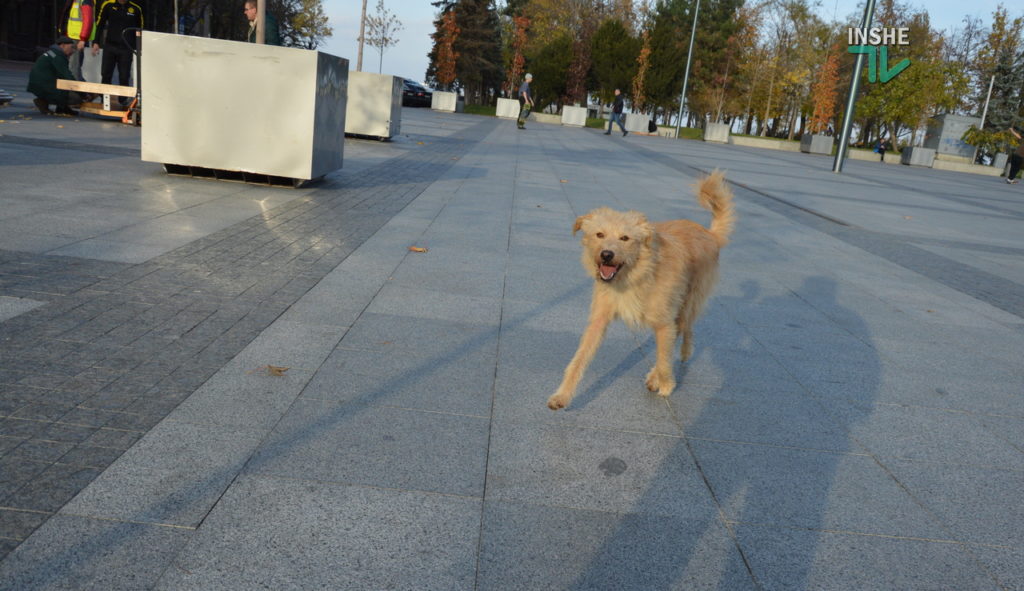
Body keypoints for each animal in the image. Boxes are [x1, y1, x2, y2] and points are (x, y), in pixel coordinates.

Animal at [548, 169, 733, 409]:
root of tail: (710, 234)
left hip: (688, 301)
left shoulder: (663, 322)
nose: (606, 254)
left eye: (625, 238)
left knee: (683, 329)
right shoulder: (599, 319)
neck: (633, 277)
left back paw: (670, 365)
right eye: (599, 234)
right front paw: (562, 395)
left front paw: (666, 384)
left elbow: (664, 356)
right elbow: (579, 358)